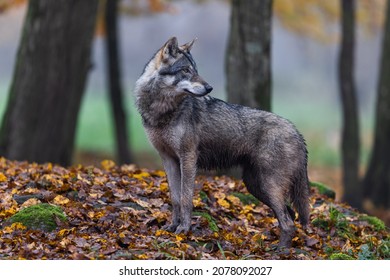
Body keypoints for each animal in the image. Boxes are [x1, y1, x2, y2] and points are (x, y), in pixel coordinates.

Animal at [135, 36, 310, 247]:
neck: (163, 111)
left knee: (288, 221)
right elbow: (175, 198)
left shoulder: (188, 158)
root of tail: (298, 132)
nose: (209, 87)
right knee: (289, 215)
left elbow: (186, 198)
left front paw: (184, 230)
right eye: (186, 70)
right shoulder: (168, 159)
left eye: (195, 69)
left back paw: (280, 250)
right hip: (255, 185)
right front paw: (171, 227)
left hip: (267, 186)